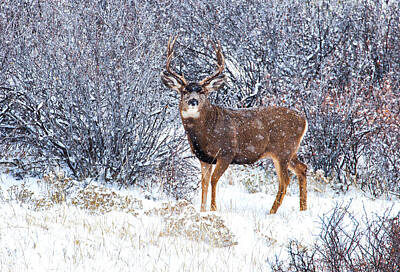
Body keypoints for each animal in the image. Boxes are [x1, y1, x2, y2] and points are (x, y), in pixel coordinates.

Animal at [161, 36, 308, 215]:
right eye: (184, 91)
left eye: (203, 91)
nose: (193, 101)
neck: (206, 132)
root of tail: (304, 120)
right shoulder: (204, 158)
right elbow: (204, 183)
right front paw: (202, 211)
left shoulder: (227, 153)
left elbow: (214, 180)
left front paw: (213, 209)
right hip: (291, 151)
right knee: (303, 168)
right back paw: (303, 209)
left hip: (283, 151)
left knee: (285, 180)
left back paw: (272, 212)